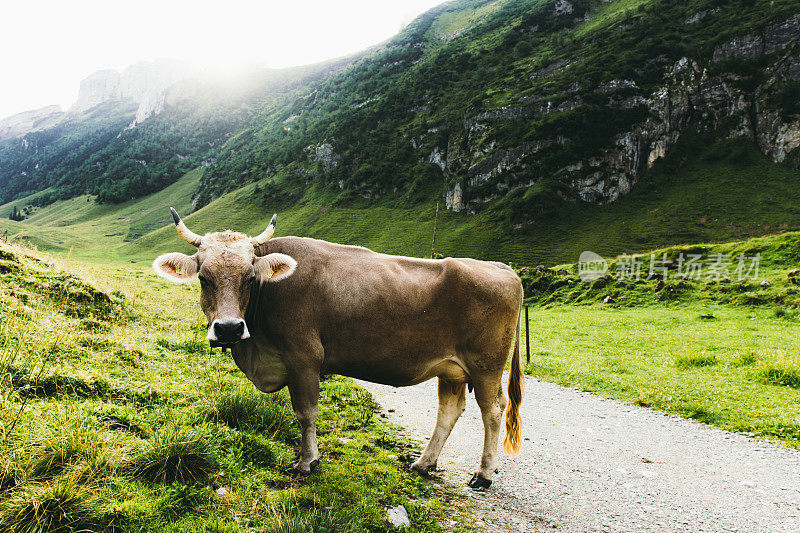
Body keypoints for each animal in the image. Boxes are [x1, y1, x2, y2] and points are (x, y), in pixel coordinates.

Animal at [152, 208, 520, 486]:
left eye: (250, 278)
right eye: (203, 278)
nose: (229, 328)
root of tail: (499, 266)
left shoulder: (304, 358)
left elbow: (306, 412)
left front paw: (307, 461)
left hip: (486, 366)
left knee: (493, 410)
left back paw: (483, 475)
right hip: (452, 369)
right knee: (450, 409)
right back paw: (423, 464)